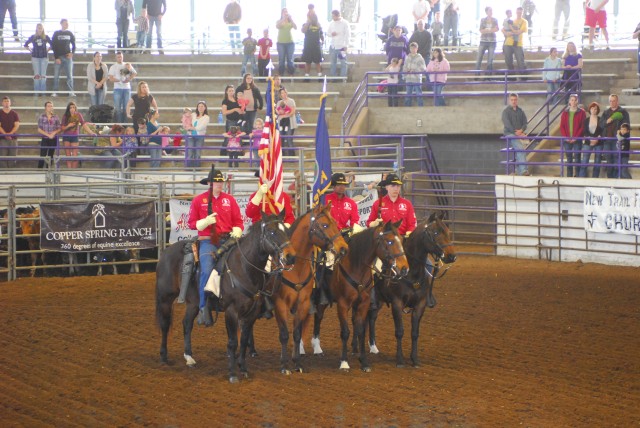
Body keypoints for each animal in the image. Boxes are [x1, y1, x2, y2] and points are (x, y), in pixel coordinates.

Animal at [156, 210, 296, 382]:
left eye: (286, 231)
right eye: (271, 232)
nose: (290, 256)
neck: (244, 268)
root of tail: (165, 253)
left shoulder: (251, 313)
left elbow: (243, 340)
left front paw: (243, 369)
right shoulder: (231, 311)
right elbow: (232, 342)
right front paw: (233, 374)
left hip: (193, 303)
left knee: (187, 324)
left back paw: (189, 358)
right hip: (165, 299)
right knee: (165, 324)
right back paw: (163, 357)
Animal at [270, 204, 350, 374]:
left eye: (334, 223)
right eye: (325, 225)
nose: (343, 248)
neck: (294, 267)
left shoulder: (304, 303)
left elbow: (297, 333)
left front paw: (297, 363)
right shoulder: (280, 304)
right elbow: (284, 334)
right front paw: (284, 365)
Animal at [312, 222, 410, 372]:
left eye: (401, 240)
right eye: (389, 241)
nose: (404, 268)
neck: (356, 266)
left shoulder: (363, 303)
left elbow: (361, 330)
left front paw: (364, 362)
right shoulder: (343, 304)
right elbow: (345, 332)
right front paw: (344, 362)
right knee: (317, 317)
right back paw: (315, 349)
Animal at [358, 212, 458, 366]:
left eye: (448, 231)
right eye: (435, 233)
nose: (452, 256)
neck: (411, 273)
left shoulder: (420, 304)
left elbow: (415, 333)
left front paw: (414, 359)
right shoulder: (397, 303)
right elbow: (399, 331)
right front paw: (399, 359)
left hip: (379, 301)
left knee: (372, 318)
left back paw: (373, 347)